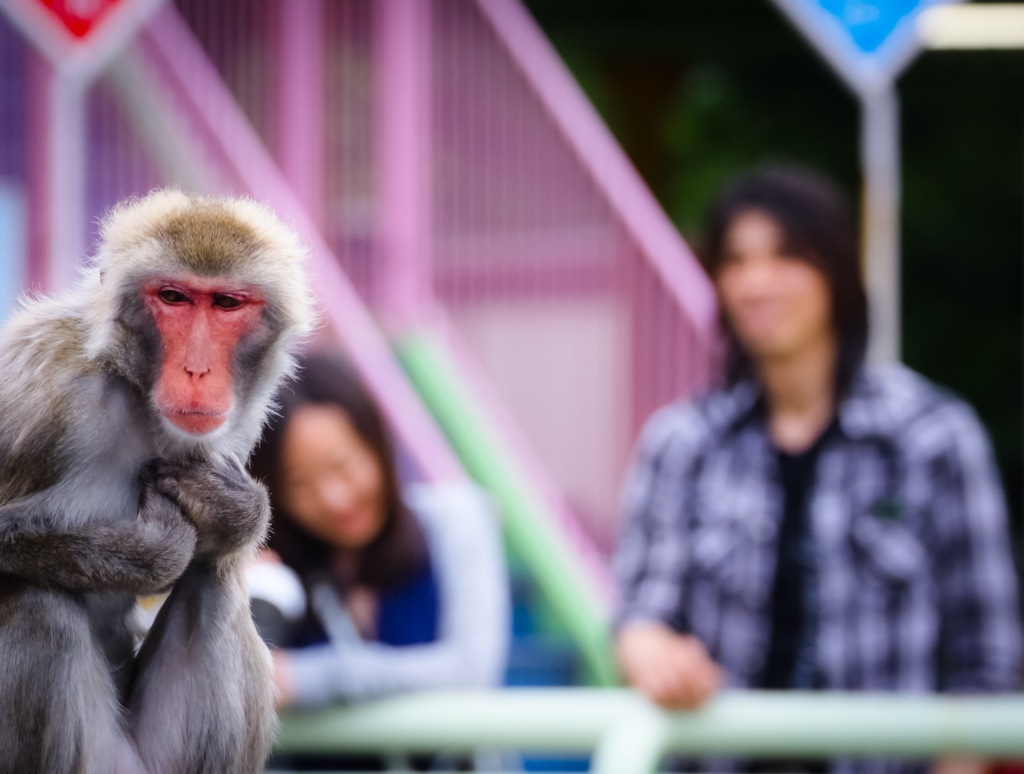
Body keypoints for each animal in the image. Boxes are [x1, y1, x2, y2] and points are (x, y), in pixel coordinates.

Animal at [0, 189, 315, 774]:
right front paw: (148, 552)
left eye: (226, 304)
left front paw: (234, 509)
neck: (135, 395)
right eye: (173, 297)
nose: (196, 371)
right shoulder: (34, 390)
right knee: (37, 607)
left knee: (215, 581)